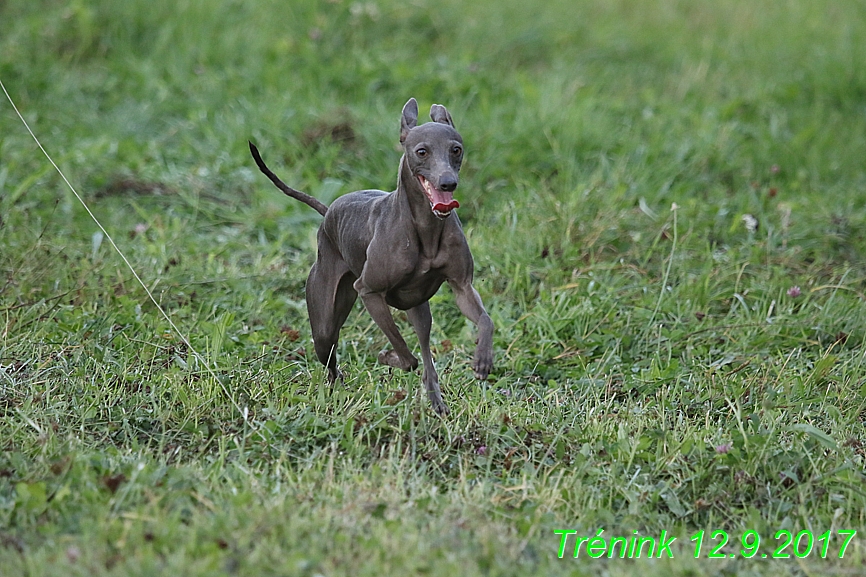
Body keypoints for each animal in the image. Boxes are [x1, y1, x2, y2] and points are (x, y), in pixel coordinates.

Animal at [250, 99, 492, 414]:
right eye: (422, 151)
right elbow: (405, 354)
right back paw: (337, 388)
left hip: (418, 310)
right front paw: (388, 357)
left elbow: (484, 320)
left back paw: (437, 401)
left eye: (456, 149)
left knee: (426, 352)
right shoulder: (369, 292)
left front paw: (483, 359)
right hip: (324, 324)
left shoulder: (462, 287)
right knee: (331, 360)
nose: (448, 183)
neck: (425, 229)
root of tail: (328, 212)